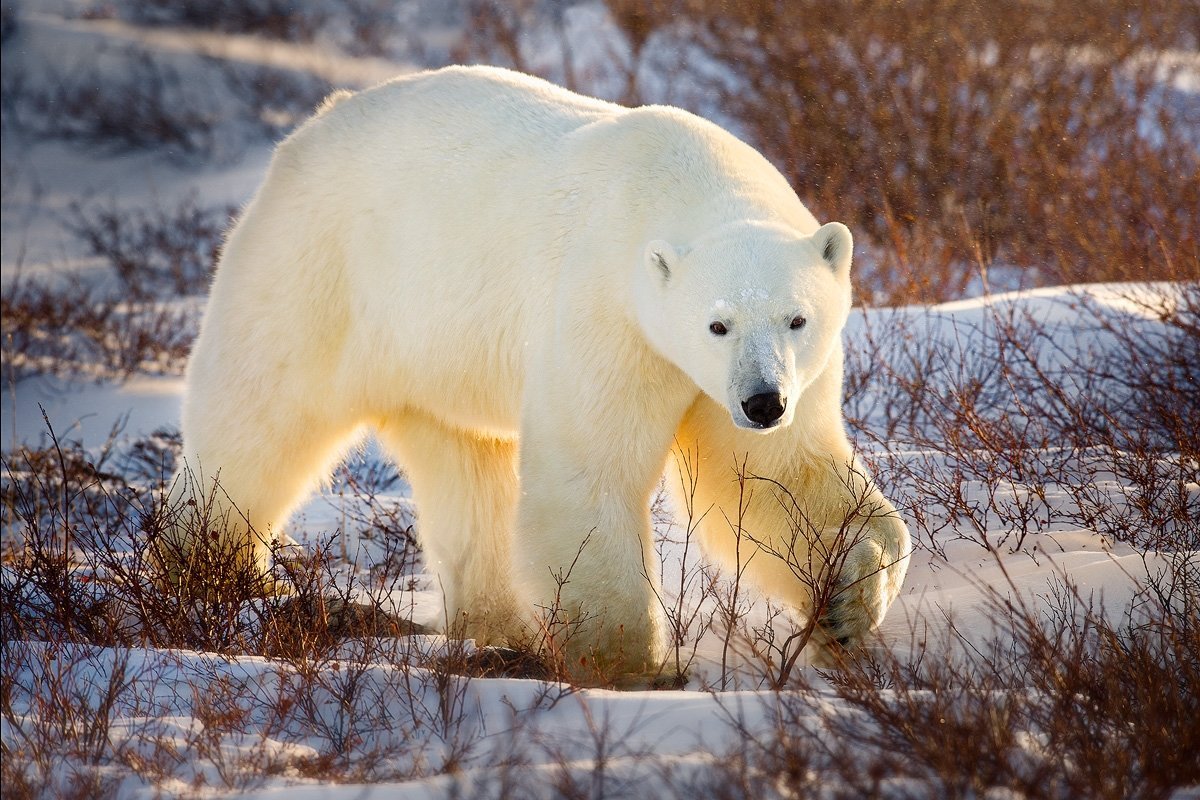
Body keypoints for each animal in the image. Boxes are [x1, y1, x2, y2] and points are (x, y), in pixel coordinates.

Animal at [174, 65, 907, 681]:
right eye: (717, 324)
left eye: (796, 318)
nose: (762, 402)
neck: (684, 183)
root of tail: (315, 125)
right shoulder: (610, 311)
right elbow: (591, 474)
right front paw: (631, 666)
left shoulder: (769, 378)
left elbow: (777, 478)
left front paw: (846, 608)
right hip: (318, 270)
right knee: (258, 416)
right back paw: (209, 573)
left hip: (440, 355)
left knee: (466, 466)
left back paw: (499, 623)